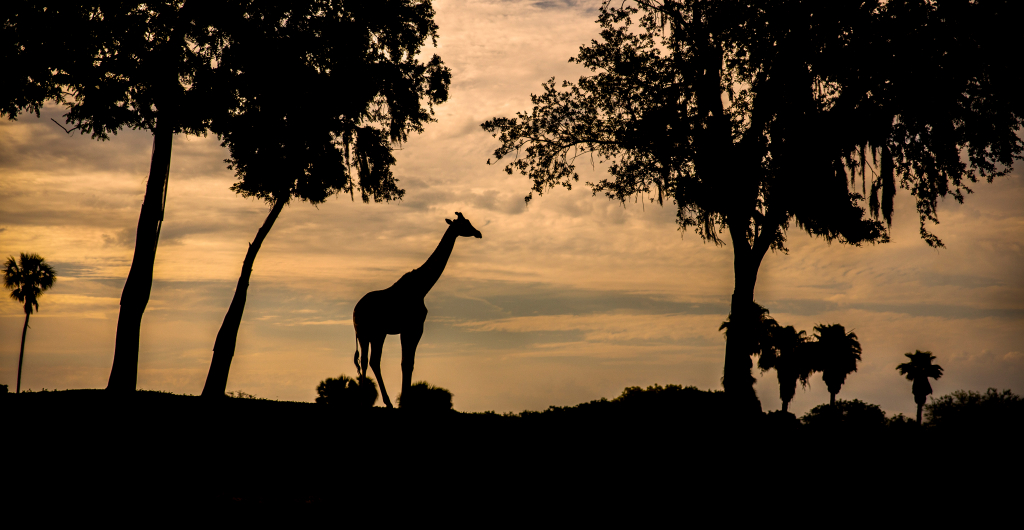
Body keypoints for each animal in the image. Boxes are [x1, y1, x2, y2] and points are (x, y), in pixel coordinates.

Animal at [352, 212, 482, 408]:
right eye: (465, 223)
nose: (478, 233)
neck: (422, 287)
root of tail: (355, 311)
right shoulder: (413, 327)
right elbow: (407, 363)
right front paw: (405, 402)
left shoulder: (408, 329)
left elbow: (407, 363)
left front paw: (404, 401)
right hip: (371, 332)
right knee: (370, 360)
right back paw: (377, 402)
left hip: (371, 333)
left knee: (369, 361)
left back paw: (374, 401)